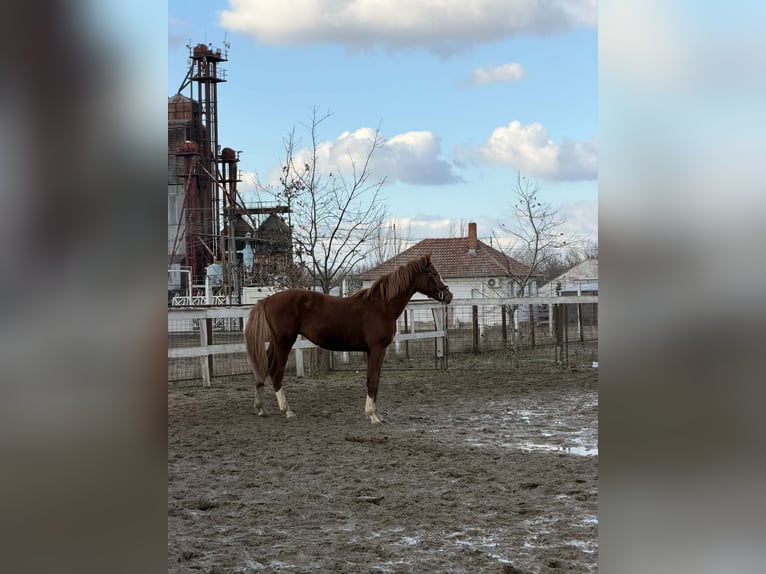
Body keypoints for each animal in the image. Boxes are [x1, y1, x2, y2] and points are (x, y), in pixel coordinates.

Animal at [244, 252, 453, 424]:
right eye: (433, 273)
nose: (448, 295)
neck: (381, 307)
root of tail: (267, 300)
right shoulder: (376, 349)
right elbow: (372, 380)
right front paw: (372, 416)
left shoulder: (377, 351)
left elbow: (376, 381)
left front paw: (377, 414)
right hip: (284, 342)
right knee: (276, 372)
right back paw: (287, 411)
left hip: (275, 342)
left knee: (263, 369)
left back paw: (261, 408)